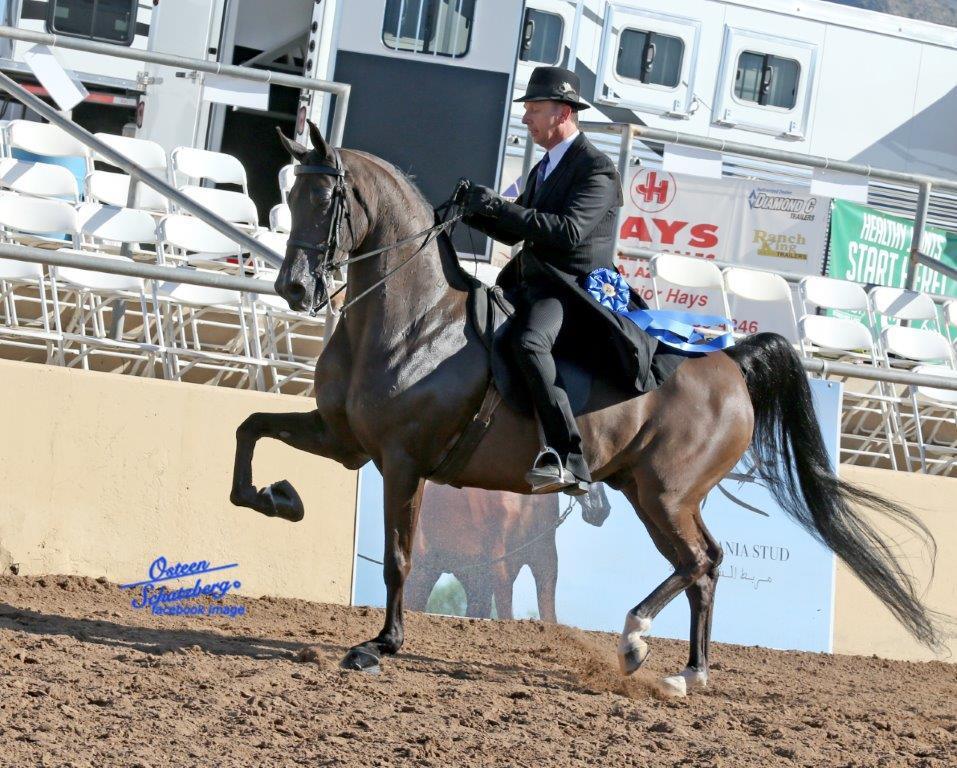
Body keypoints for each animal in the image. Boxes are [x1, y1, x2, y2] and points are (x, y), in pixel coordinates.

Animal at [406, 482, 611, 621]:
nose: (600, 508)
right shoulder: (502, 569)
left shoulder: (546, 564)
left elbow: (550, 618)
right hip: (421, 573)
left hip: (474, 580)